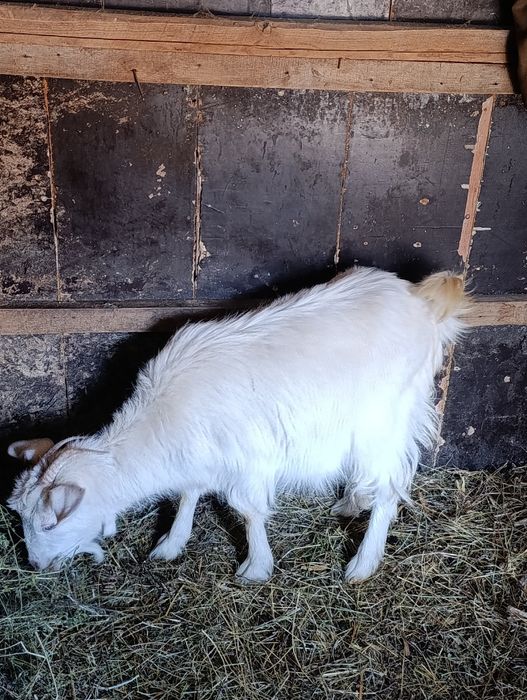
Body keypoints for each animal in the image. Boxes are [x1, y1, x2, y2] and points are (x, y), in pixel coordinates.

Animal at [7, 266, 468, 582]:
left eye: (49, 523)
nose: (34, 564)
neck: (161, 421)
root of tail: (421, 300)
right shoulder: (199, 452)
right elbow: (188, 492)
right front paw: (171, 543)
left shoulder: (248, 456)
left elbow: (247, 511)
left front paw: (255, 567)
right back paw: (351, 503)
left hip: (384, 421)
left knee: (389, 488)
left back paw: (362, 563)